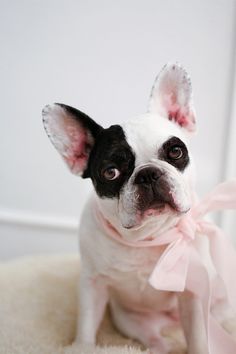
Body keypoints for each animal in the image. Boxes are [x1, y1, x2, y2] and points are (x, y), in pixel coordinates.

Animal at [42, 64, 236, 354]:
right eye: (110, 172)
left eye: (176, 152)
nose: (148, 174)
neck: (149, 236)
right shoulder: (92, 283)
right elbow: (86, 325)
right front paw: (82, 346)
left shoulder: (194, 293)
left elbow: (199, 338)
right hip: (130, 322)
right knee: (156, 341)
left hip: (219, 304)